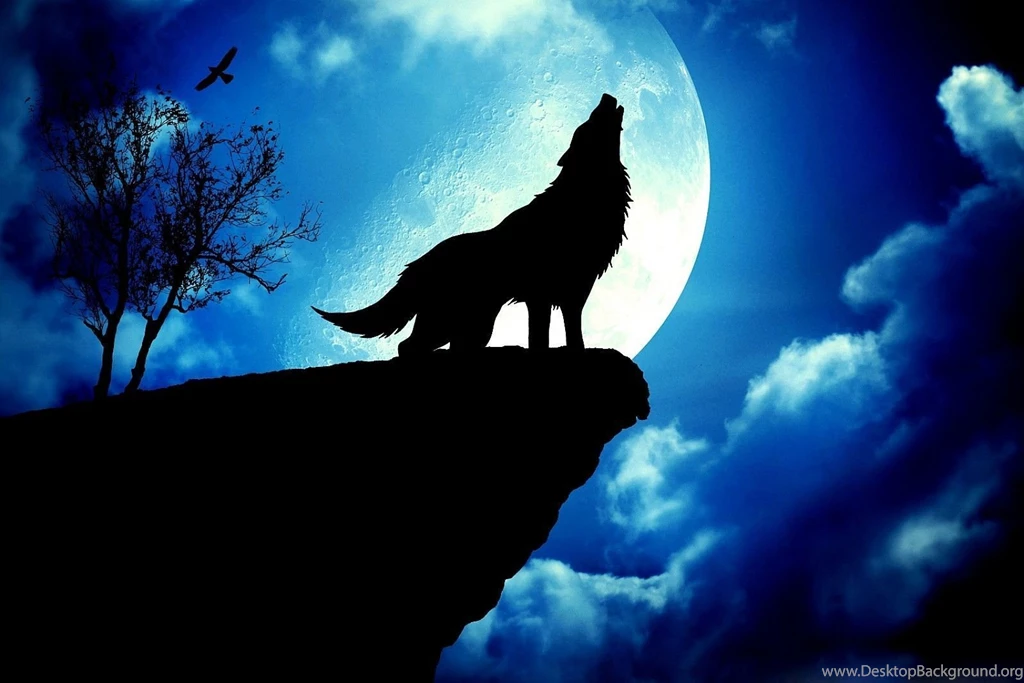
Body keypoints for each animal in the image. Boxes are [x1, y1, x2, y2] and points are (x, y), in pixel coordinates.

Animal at [312, 93, 632, 356]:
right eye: (588, 122)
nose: (606, 95)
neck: (580, 199)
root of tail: (417, 265)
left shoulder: (575, 292)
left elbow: (573, 335)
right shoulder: (540, 295)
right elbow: (539, 339)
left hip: (474, 324)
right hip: (450, 321)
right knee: (408, 347)